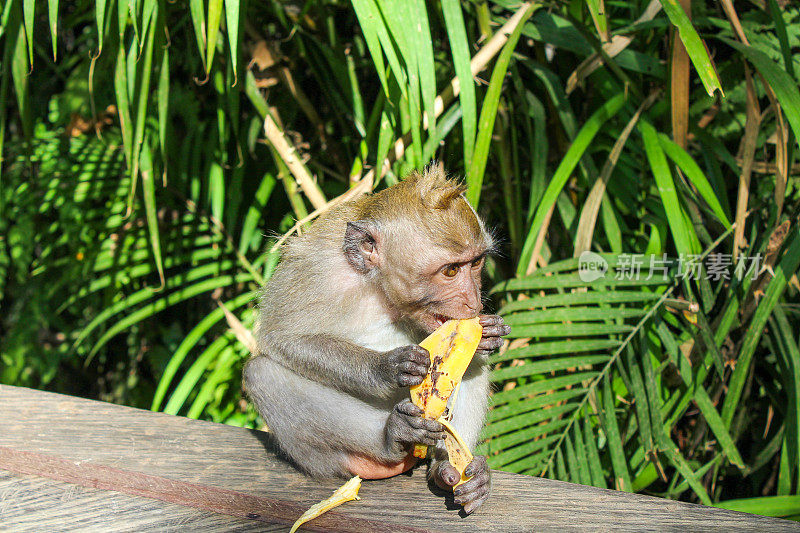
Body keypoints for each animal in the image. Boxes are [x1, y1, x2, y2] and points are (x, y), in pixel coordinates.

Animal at [241, 164, 512, 512]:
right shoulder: (316, 270)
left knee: (472, 366)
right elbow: (281, 338)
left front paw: (491, 335)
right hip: (325, 459)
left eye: (476, 263)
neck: (380, 288)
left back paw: (451, 470)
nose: (473, 302)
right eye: (451, 270)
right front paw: (387, 368)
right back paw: (391, 438)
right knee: (262, 373)